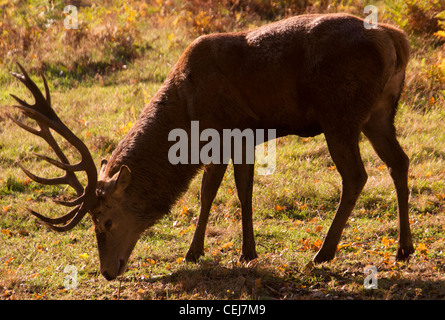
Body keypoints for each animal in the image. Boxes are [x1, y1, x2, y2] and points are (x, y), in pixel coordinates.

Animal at [7, 13, 412, 280]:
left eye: (105, 220)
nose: (107, 272)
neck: (186, 109)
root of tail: (396, 40)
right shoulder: (245, 135)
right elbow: (243, 189)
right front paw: (248, 252)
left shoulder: (219, 132)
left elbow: (208, 191)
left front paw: (194, 251)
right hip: (379, 113)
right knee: (400, 162)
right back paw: (403, 248)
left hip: (340, 113)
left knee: (356, 176)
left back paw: (324, 253)